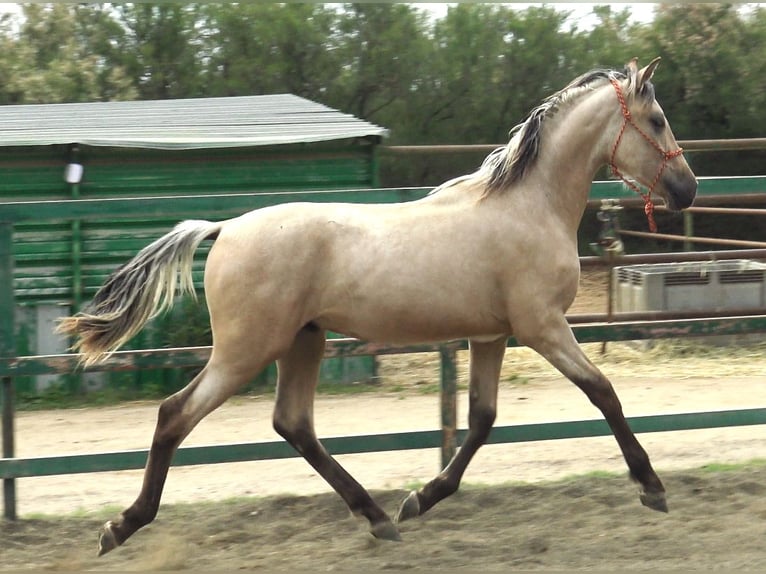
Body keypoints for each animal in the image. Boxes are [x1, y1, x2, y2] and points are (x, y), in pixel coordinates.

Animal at [57, 58, 700, 560]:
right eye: (657, 120)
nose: (687, 188)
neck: (528, 205)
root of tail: (225, 227)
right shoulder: (542, 326)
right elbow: (603, 392)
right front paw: (651, 487)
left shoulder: (492, 336)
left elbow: (482, 419)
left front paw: (420, 499)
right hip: (246, 350)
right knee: (175, 414)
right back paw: (121, 526)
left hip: (304, 341)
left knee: (293, 424)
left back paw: (379, 517)